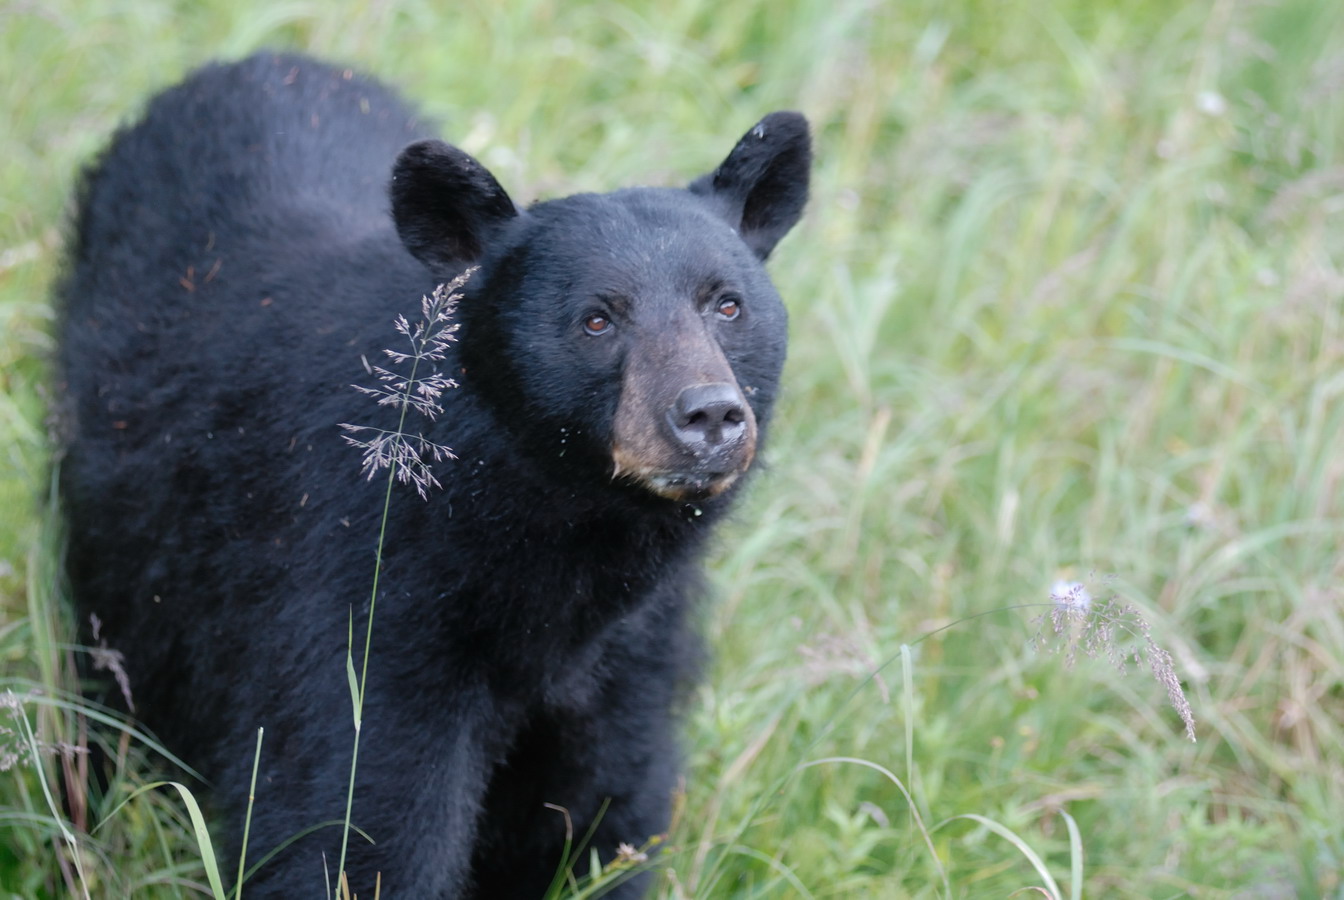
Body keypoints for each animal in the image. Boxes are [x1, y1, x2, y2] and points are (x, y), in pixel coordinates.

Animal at [57, 53, 806, 897]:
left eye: (727, 305)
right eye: (597, 319)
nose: (708, 415)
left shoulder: (632, 650)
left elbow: (602, 811)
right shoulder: (366, 598)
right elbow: (356, 822)